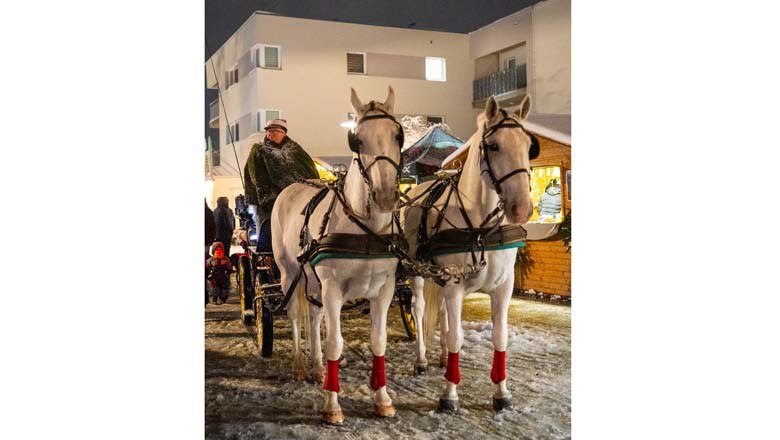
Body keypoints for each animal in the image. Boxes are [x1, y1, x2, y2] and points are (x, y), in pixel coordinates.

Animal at [272, 87, 402, 426]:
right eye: (357, 140)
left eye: (398, 135)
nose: (385, 196)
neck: (365, 228)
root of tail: (290, 187)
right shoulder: (333, 289)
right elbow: (335, 342)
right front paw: (332, 406)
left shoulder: (384, 289)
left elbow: (378, 340)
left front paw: (382, 399)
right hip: (289, 275)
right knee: (296, 315)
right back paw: (299, 365)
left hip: (313, 282)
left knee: (314, 316)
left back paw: (317, 367)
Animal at [402, 93, 536, 412]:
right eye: (494, 145)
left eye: (529, 145)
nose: (522, 209)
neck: (480, 229)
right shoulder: (454, 285)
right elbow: (456, 338)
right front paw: (449, 395)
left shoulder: (503, 287)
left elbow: (499, 336)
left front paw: (501, 393)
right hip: (417, 271)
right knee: (419, 308)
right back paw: (422, 360)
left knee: (442, 314)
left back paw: (439, 359)